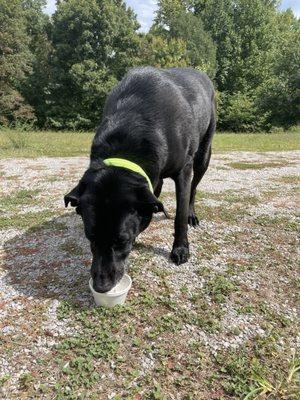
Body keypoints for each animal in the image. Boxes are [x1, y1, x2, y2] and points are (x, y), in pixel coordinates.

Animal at [65, 67, 216, 292]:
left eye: (122, 241)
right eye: (90, 237)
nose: (101, 286)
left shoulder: (184, 170)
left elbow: (179, 215)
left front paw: (180, 248)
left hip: (203, 155)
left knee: (194, 188)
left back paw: (192, 214)